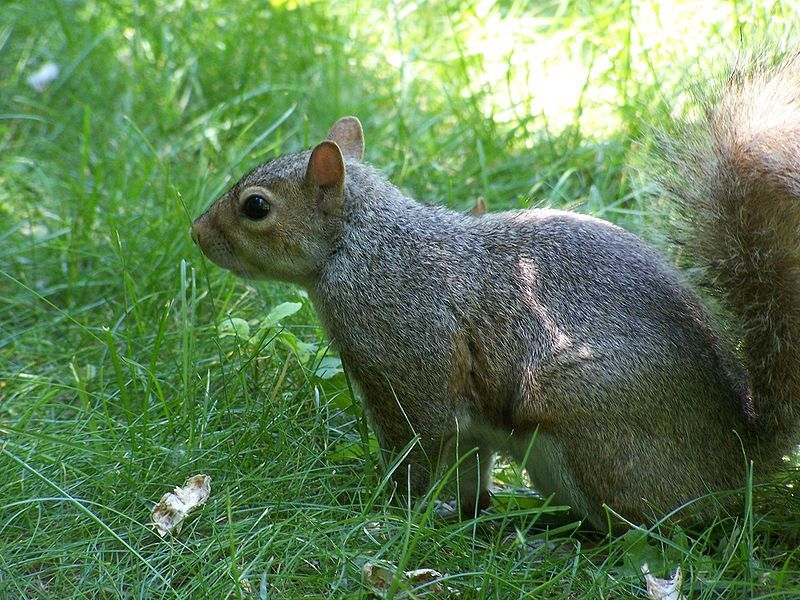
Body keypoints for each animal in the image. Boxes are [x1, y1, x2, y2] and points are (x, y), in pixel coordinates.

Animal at [191, 52, 800, 528]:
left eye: (256, 207)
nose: (196, 232)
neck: (362, 246)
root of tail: (740, 460)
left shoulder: (407, 359)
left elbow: (418, 443)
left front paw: (386, 513)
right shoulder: (468, 425)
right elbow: (468, 469)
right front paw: (463, 513)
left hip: (581, 426)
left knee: (640, 528)